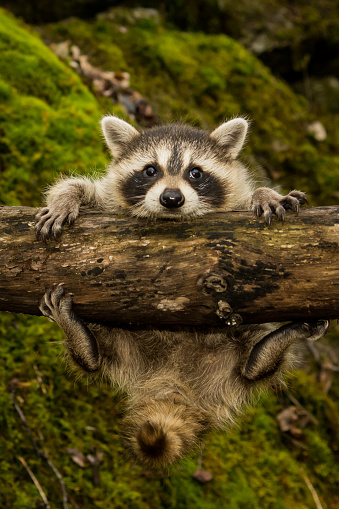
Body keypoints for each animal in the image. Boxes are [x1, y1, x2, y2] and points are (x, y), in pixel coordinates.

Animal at [35, 116, 330, 468]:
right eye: (150, 170)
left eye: (196, 173)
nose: (172, 198)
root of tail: (174, 378)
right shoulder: (110, 200)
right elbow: (83, 187)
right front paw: (66, 198)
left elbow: (249, 196)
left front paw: (265, 193)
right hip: (123, 342)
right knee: (98, 357)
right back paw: (82, 339)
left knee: (251, 369)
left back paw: (268, 350)